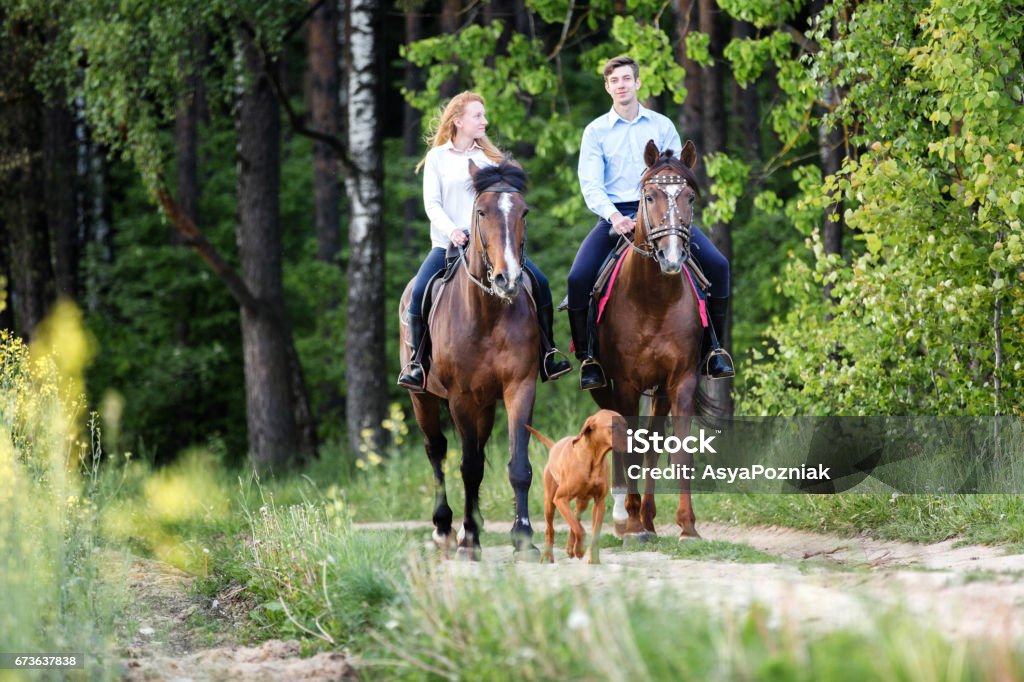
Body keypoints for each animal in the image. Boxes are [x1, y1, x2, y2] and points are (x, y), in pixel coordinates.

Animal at [397, 157, 544, 557]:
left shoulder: (519, 388)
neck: (488, 313)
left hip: (485, 404)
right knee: (437, 451)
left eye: (524, 211)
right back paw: (446, 529)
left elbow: (519, 466)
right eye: (482, 211)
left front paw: (523, 537)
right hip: (423, 398)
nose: (508, 279)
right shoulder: (460, 397)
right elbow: (469, 467)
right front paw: (471, 542)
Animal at [524, 409, 618, 561]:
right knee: (551, 529)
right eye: (612, 426)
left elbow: (593, 533)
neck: (593, 460)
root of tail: (554, 446)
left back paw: (569, 546)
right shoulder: (560, 499)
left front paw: (594, 560)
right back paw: (548, 556)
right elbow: (579, 529)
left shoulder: (600, 502)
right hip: (549, 503)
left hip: (583, 501)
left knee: (575, 516)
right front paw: (580, 549)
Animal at [593, 139, 712, 540]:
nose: (672, 257)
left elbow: (680, 451)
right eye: (649, 196)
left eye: (689, 197)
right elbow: (628, 447)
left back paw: (647, 516)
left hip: (659, 392)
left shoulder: (681, 381)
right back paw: (626, 517)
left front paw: (687, 525)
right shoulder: (627, 384)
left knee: (652, 445)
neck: (655, 299)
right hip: (606, 387)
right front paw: (630, 525)